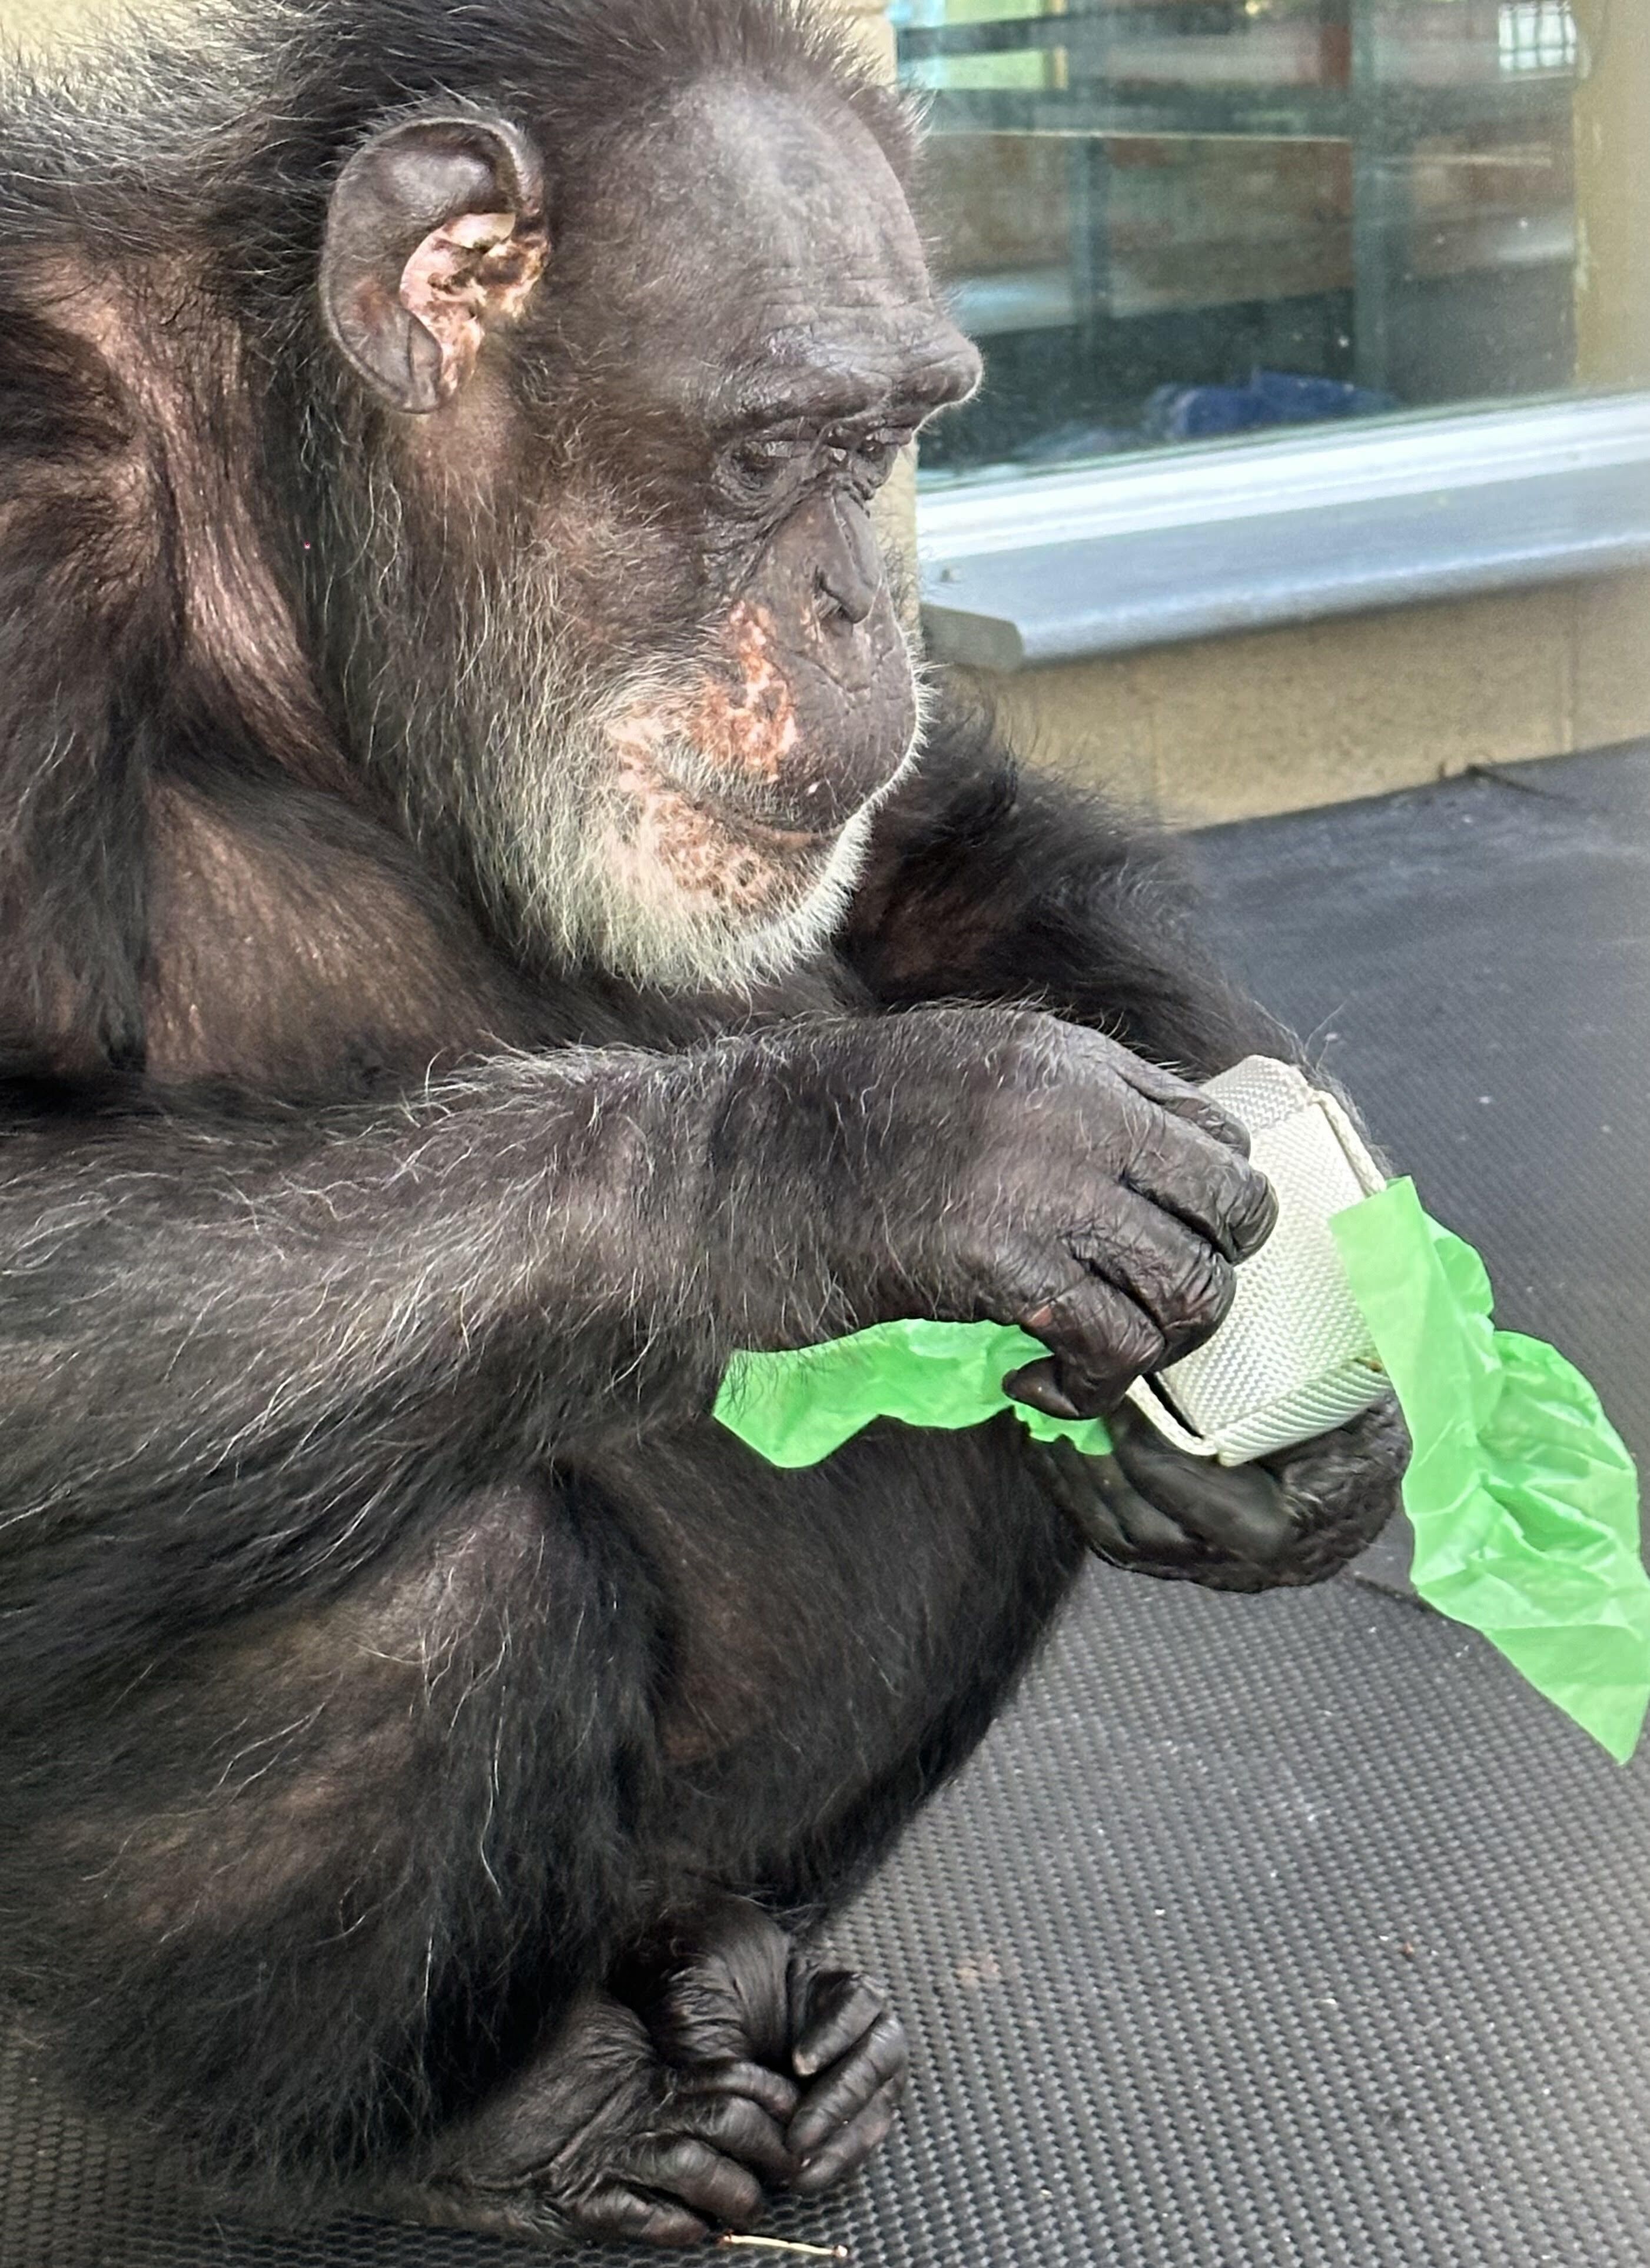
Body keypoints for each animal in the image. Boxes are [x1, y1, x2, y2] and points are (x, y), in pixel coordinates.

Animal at [0, 0, 1407, 2240]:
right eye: (773, 448)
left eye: (891, 441)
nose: (860, 608)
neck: (288, 529)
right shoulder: (22, 495)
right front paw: (897, 1155)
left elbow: (916, 840)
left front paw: (1327, 1353)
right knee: (437, 1605)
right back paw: (525, 2130)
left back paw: (756, 1999)